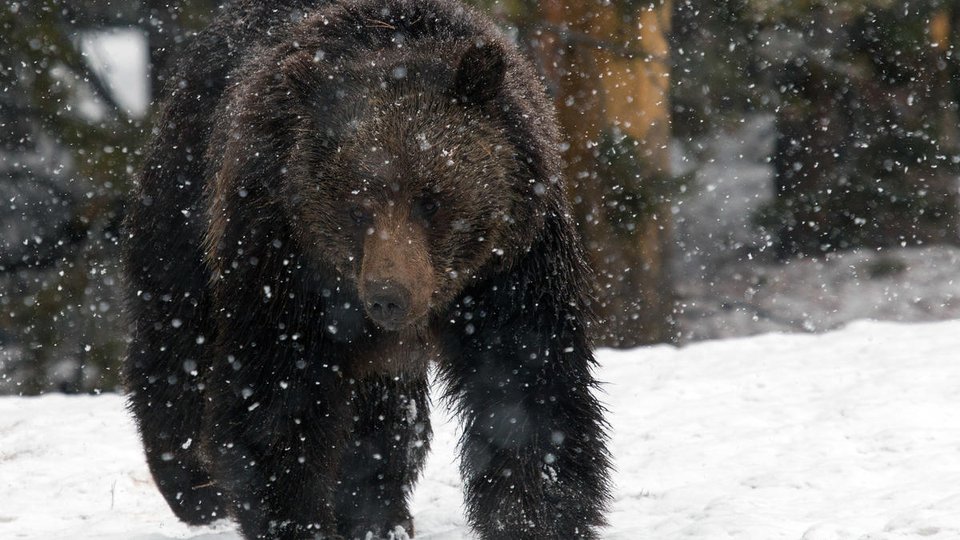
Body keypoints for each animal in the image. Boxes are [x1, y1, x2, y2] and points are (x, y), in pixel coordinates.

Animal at [122, 0, 611, 538]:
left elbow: (527, 390)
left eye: (431, 201)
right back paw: (193, 486)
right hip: (186, 200)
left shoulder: (511, 265)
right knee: (177, 336)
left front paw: (534, 515)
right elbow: (278, 399)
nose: (388, 296)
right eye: (356, 209)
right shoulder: (283, 257)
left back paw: (379, 510)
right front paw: (297, 519)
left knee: (385, 410)